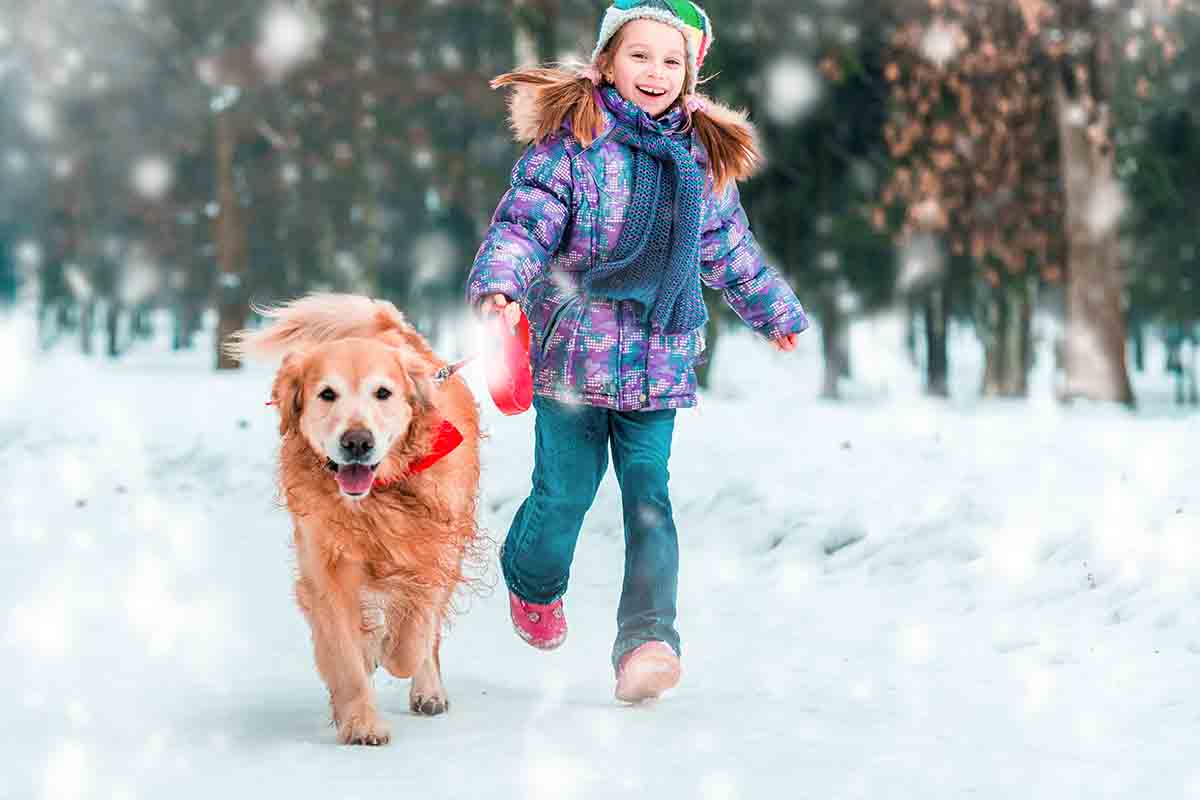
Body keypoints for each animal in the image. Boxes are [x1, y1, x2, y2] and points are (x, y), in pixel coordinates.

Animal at [231, 292, 480, 743]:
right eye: (327, 394)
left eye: (383, 392)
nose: (357, 442)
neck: (375, 498)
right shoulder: (326, 568)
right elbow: (346, 656)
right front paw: (361, 721)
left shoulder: (433, 553)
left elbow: (411, 638)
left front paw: (391, 652)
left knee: (427, 633)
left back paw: (428, 690)